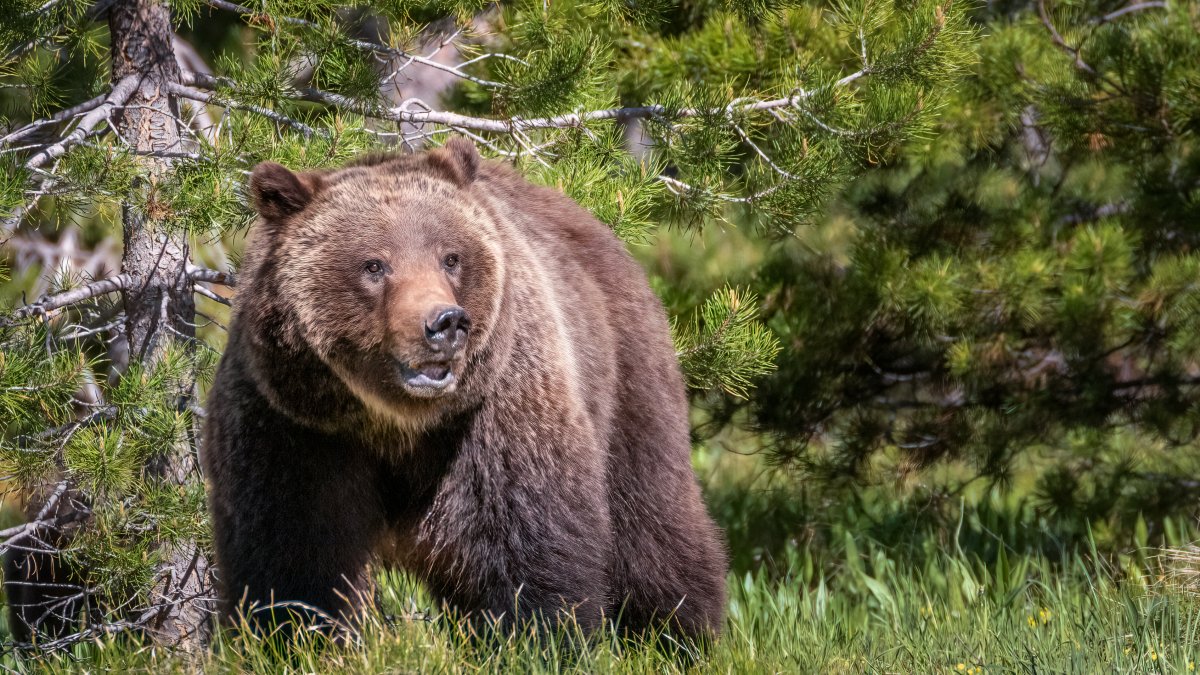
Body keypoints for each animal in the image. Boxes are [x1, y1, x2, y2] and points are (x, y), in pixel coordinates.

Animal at [200, 138, 728, 640]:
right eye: (374, 265)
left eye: (450, 257)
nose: (445, 323)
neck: (392, 422)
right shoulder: (292, 422)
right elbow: (292, 555)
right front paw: (294, 633)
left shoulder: (496, 413)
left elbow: (526, 543)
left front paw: (535, 636)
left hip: (625, 376)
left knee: (651, 524)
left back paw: (677, 633)